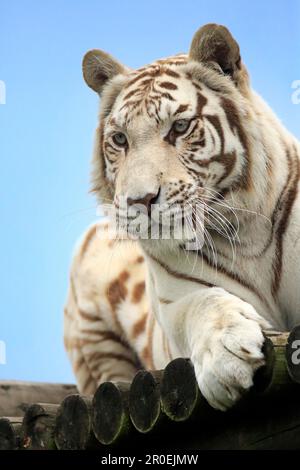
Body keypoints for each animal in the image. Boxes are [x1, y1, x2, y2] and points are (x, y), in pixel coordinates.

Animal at [64, 23, 300, 410]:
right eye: (120, 139)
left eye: (179, 127)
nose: (140, 200)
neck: (246, 232)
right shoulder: (175, 300)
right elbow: (203, 303)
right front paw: (226, 357)